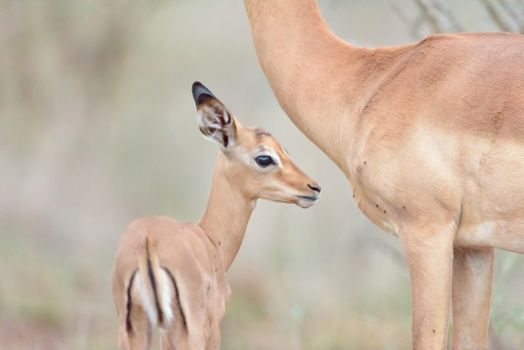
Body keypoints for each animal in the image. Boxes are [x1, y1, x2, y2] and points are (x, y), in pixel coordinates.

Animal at [112, 82, 322, 350]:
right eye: (264, 157)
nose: (313, 188)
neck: (209, 239)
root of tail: (148, 244)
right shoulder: (212, 329)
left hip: (133, 329)